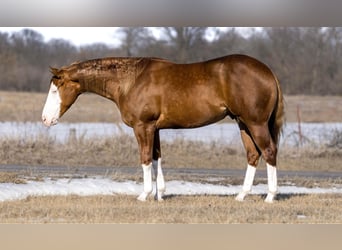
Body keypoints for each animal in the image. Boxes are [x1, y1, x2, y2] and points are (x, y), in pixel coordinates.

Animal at [42, 54, 284, 203]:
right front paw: (159, 195)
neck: (130, 81)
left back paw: (270, 196)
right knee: (253, 155)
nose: (45, 119)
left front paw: (144, 195)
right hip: (243, 123)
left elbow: (145, 158)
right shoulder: (155, 129)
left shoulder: (143, 126)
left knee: (269, 151)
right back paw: (242, 195)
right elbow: (156, 157)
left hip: (256, 123)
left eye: (55, 89)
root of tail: (268, 71)